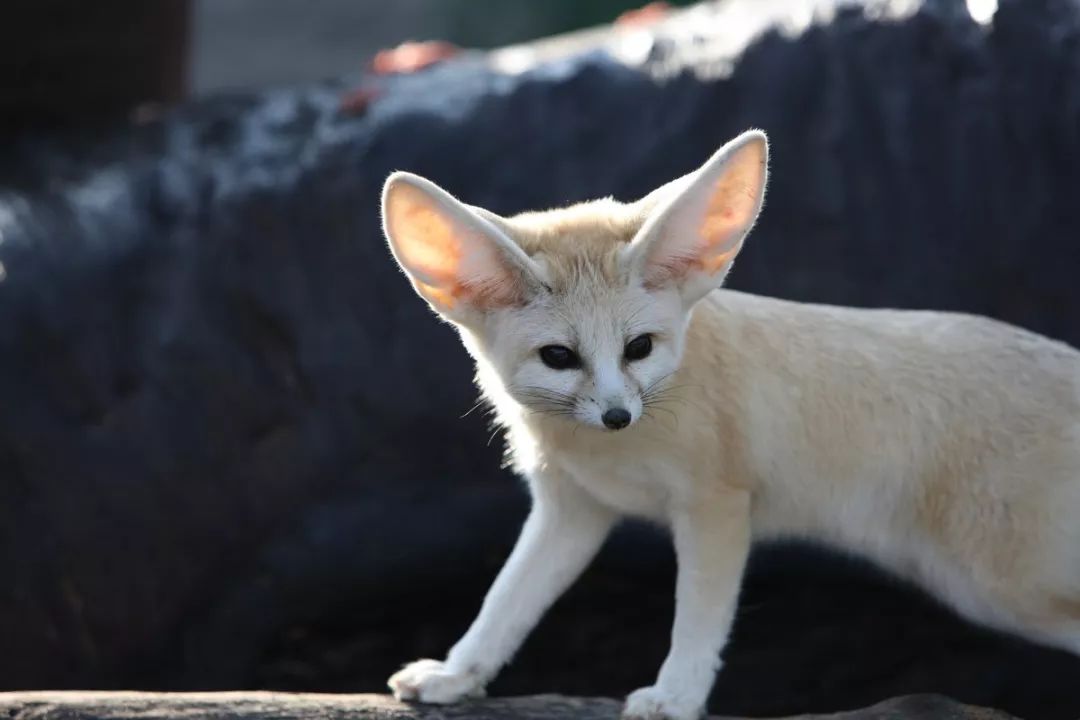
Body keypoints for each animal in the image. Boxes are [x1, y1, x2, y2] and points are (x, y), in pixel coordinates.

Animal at [378, 131, 1080, 720]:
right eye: (559, 357)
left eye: (638, 348)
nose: (617, 415)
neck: (611, 449)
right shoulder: (572, 510)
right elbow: (506, 602)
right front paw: (456, 674)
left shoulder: (716, 506)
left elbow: (698, 615)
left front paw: (676, 695)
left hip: (1000, 587)